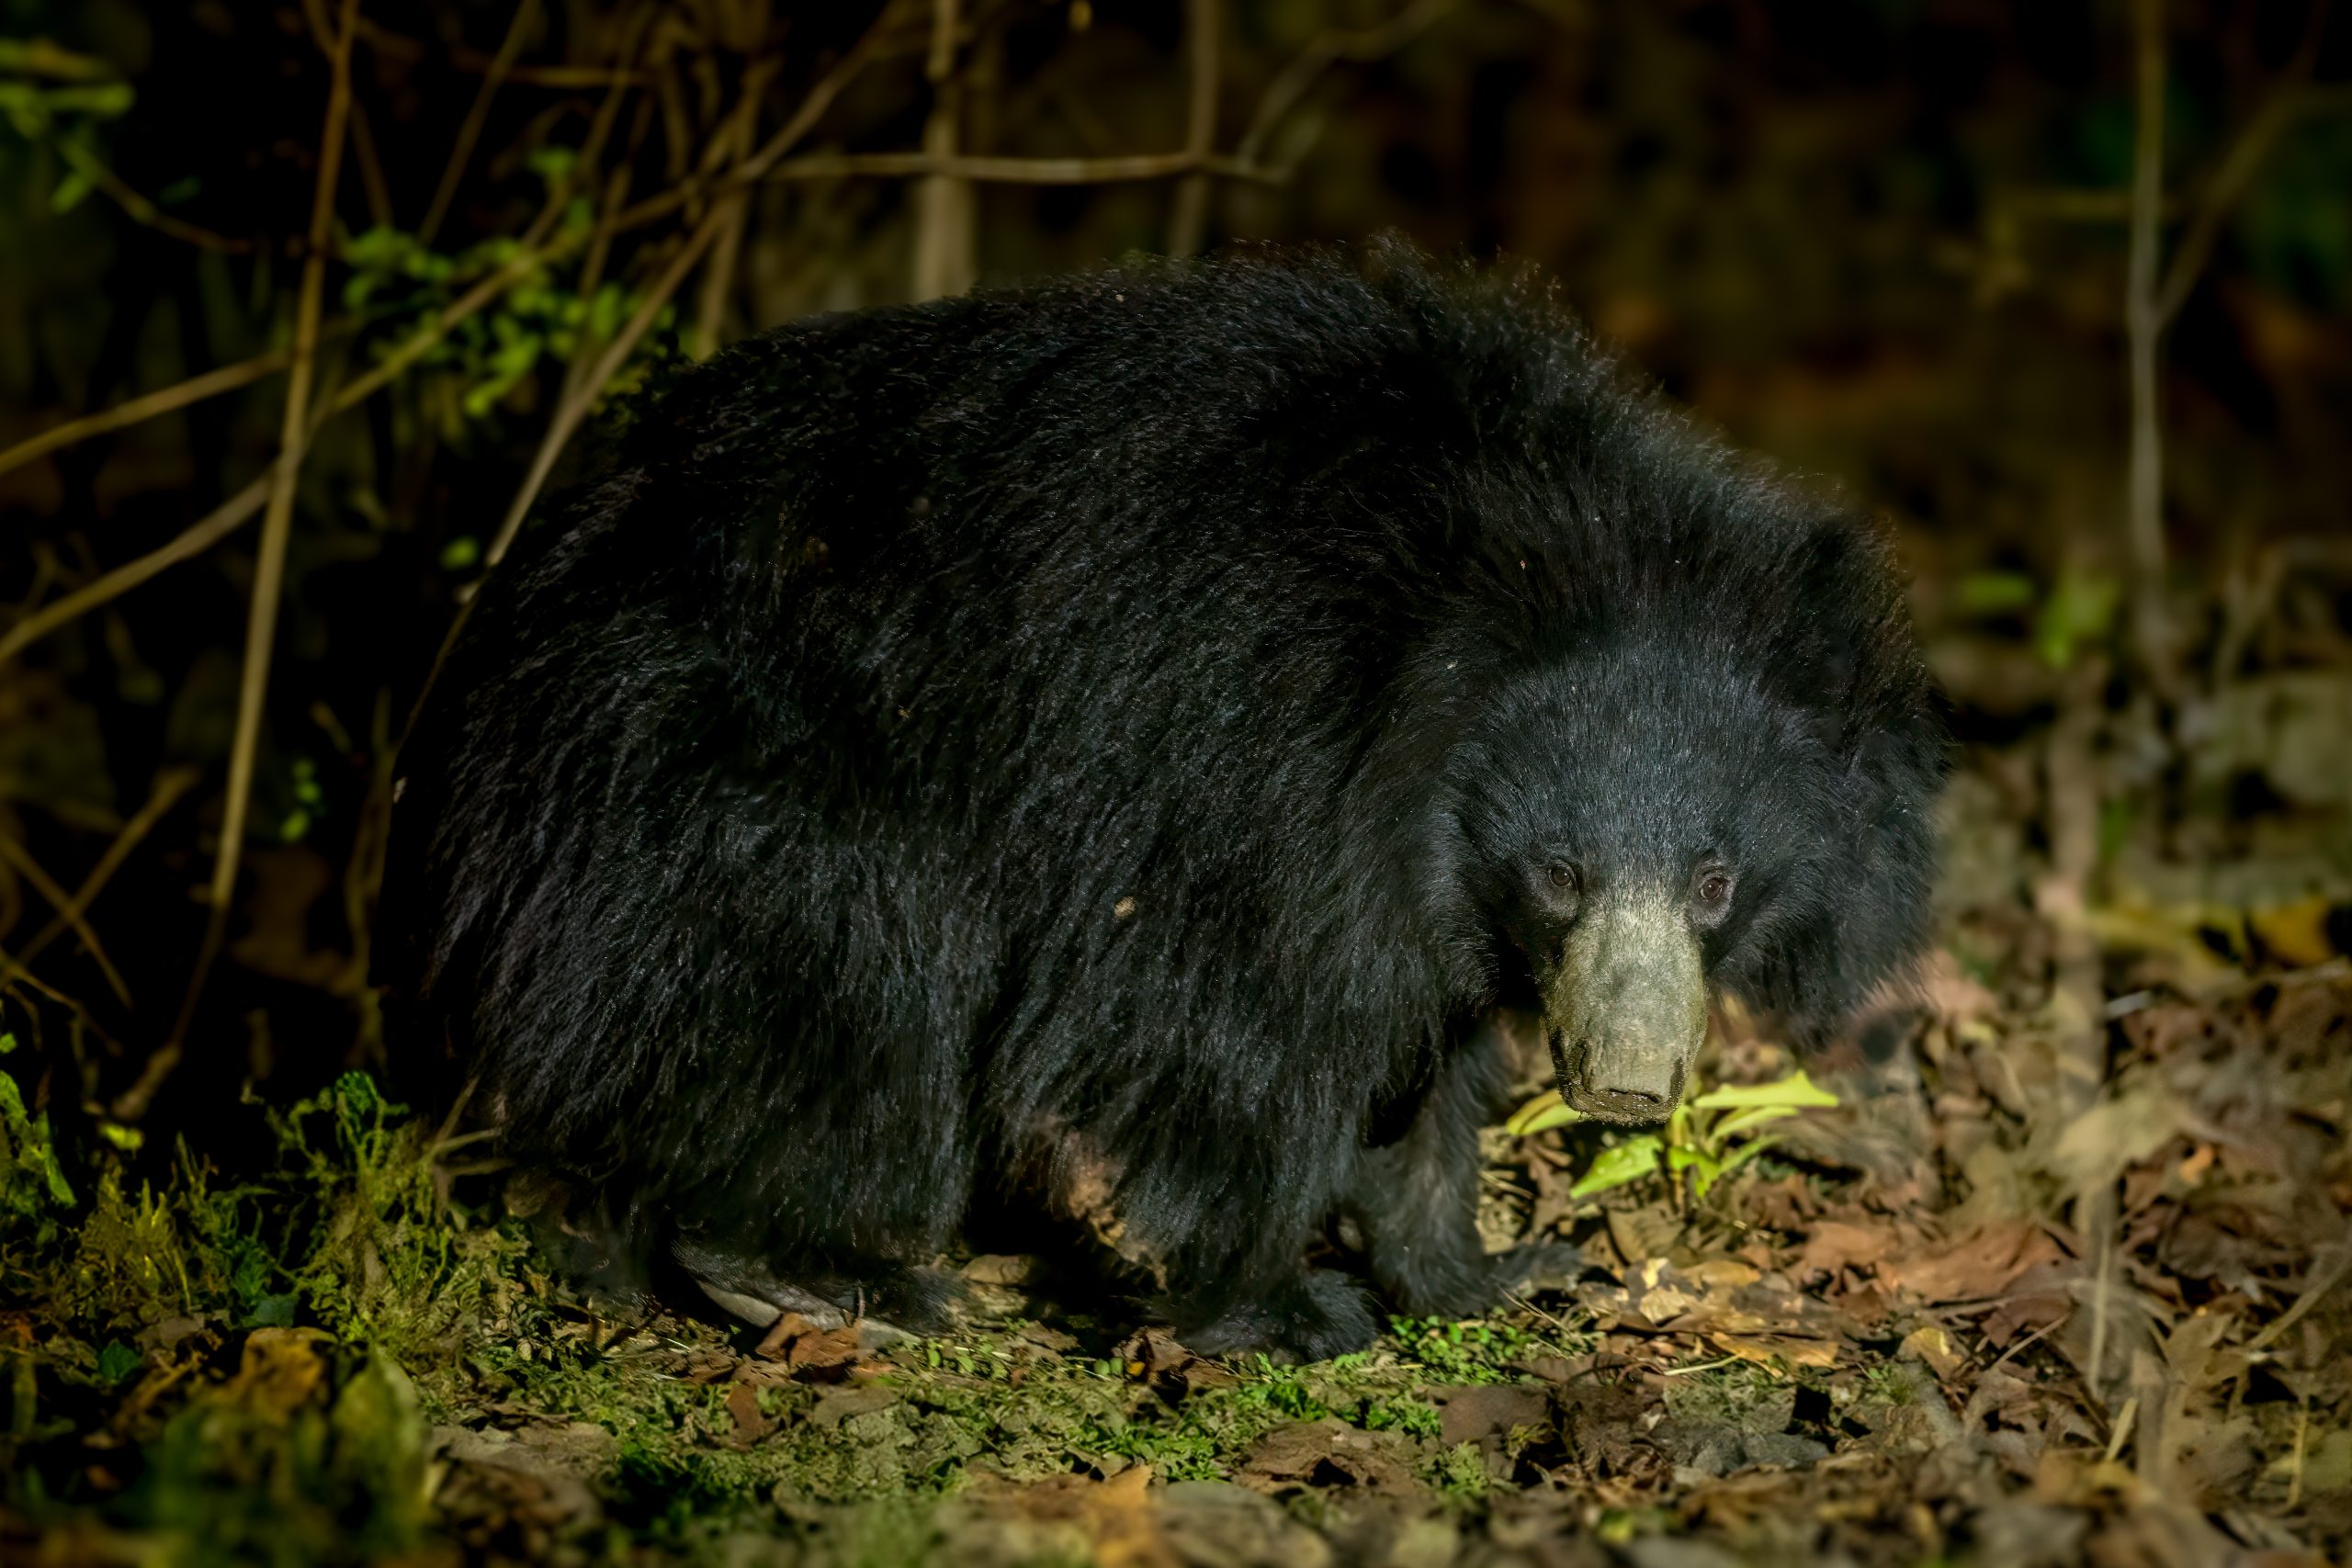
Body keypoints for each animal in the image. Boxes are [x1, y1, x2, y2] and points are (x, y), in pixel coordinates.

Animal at [385, 240, 1947, 1354]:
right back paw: (812, 1270)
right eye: (1560, 870)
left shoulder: (1420, 880)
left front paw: (1481, 1270)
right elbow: (1225, 1024)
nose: (1625, 1081)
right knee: (831, 970)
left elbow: (1423, 1057)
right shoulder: (1244, 759)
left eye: (1713, 880)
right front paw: (1284, 1306)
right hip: (726, 754)